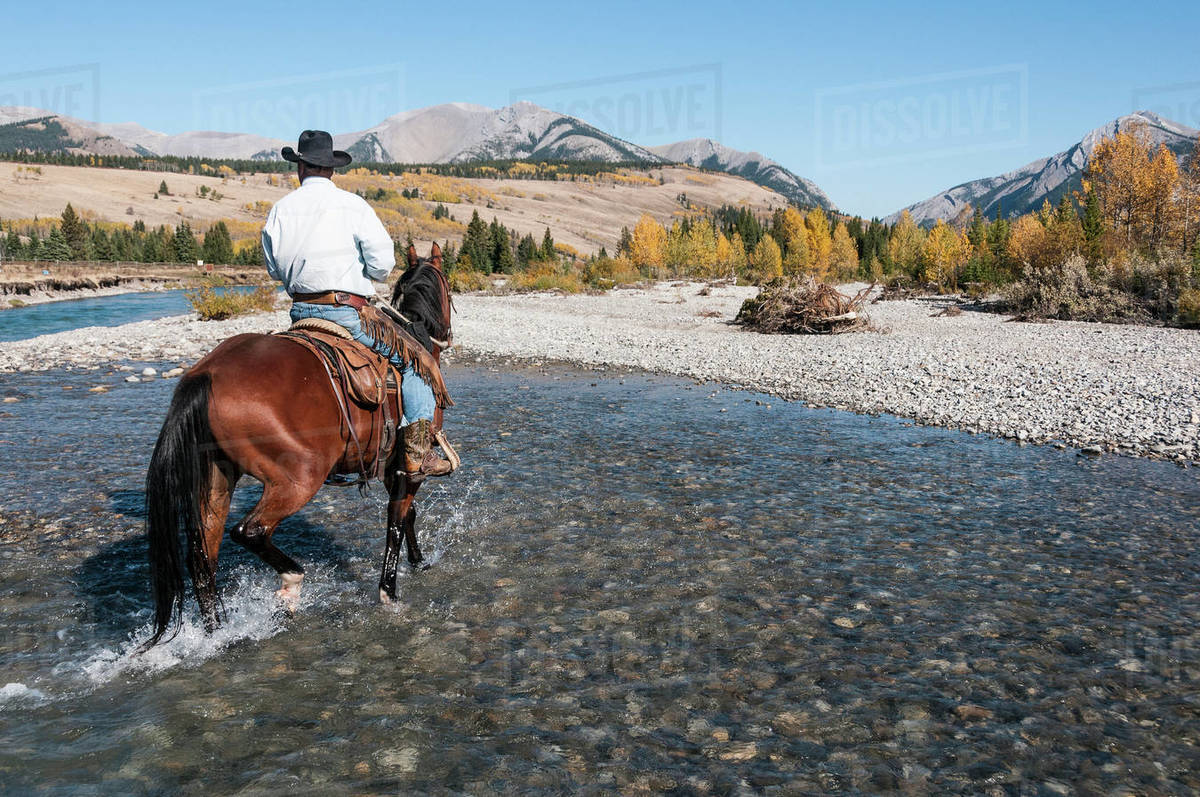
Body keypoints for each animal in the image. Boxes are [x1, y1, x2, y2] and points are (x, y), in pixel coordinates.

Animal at [142, 243, 453, 649]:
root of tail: (206, 374)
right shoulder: (407, 466)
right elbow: (398, 521)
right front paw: (391, 591)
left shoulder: (390, 466)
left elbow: (407, 516)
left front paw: (418, 563)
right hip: (299, 477)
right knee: (250, 531)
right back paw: (291, 583)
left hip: (215, 481)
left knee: (202, 556)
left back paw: (215, 634)